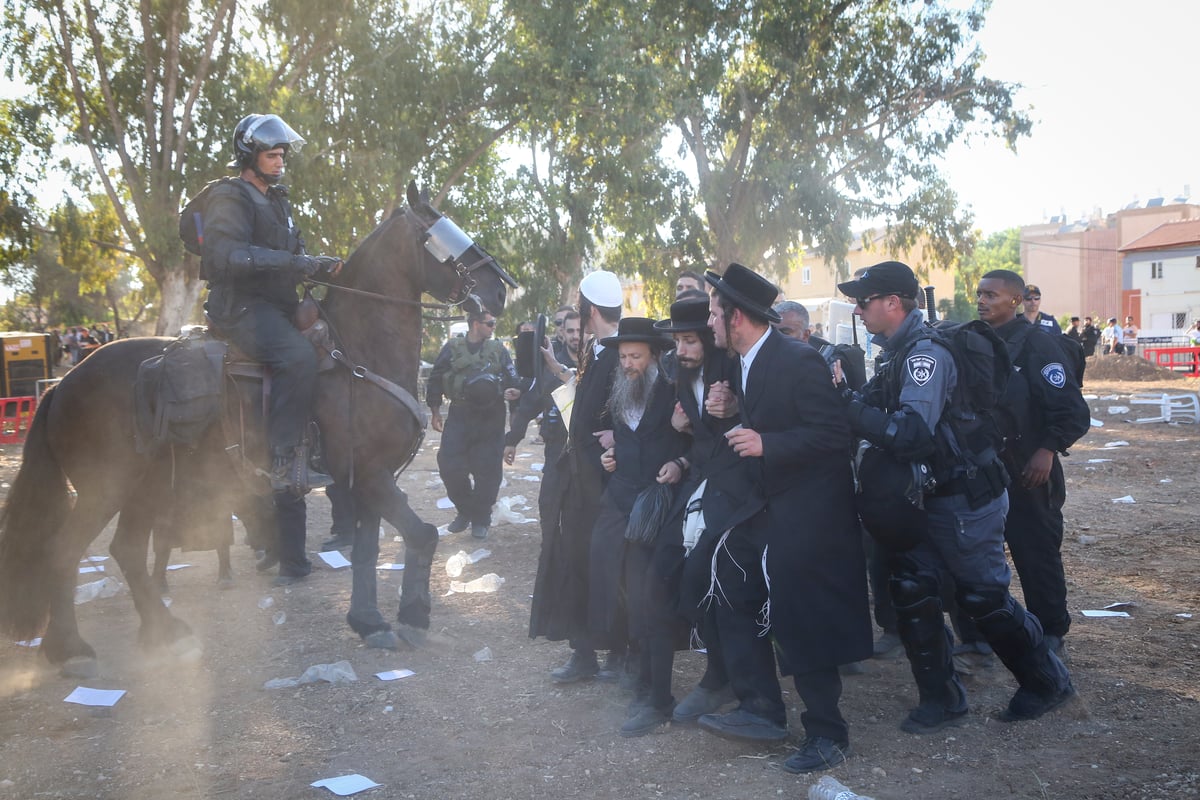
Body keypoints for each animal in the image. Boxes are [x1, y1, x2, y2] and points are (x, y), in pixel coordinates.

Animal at [0, 181, 511, 676]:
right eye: (441, 234)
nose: (501, 291)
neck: (357, 353)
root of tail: (62, 384)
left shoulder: (366, 478)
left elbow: (368, 550)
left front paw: (370, 622)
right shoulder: (370, 473)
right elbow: (422, 534)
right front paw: (414, 616)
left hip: (145, 489)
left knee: (125, 551)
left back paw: (162, 633)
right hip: (104, 490)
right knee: (64, 551)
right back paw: (70, 650)